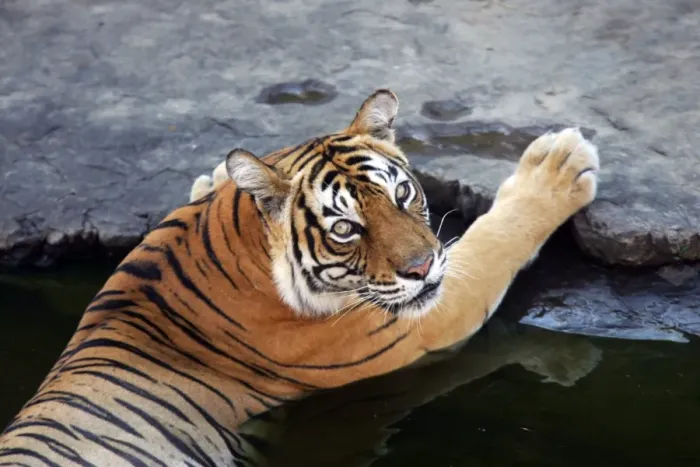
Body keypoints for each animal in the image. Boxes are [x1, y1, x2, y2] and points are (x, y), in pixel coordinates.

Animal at [0, 89, 600, 466]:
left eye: (403, 194)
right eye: (345, 228)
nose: (422, 267)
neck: (227, 236)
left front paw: (213, 176)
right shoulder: (413, 320)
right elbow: (492, 241)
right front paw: (560, 165)